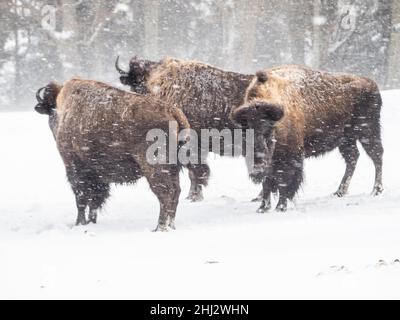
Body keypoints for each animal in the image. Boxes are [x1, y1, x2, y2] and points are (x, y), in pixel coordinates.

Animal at [33, 79, 188, 231]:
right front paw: (91, 221)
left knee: (165, 193)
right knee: (175, 192)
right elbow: (94, 200)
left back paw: (159, 227)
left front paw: (79, 223)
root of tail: (173, 112)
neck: (63, 109)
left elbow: (81, 198)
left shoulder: (74, 167)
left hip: (154, 167)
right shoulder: (97, 175)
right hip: (173, 169)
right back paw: (170, 226)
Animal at [231, 65, 384, 212]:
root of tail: (372, 84)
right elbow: (267, 183)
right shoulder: (271, 163)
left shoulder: (290, 157)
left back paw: (376, 190)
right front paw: (263, 208)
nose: (256, 171)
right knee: (353, 158)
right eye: (243, 134)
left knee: (376, 156)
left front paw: (280, 207)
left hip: (368, 131)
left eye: (268, 132)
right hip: (346, 140)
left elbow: (284, 182)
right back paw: (339, 192)